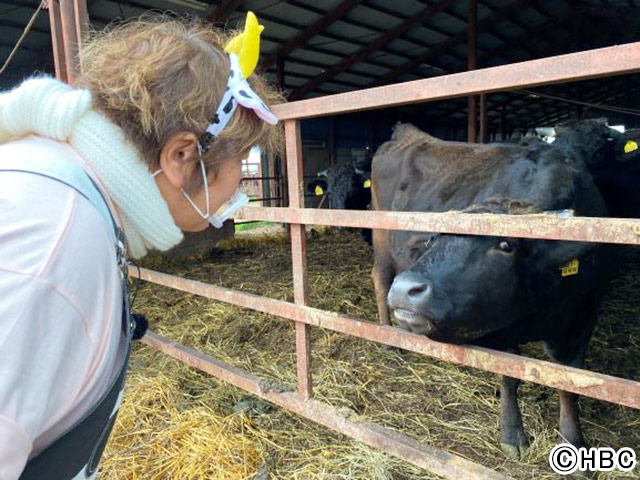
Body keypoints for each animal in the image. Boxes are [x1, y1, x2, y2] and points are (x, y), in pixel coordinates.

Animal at [370, 122, 616, 456]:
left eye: (506, 244)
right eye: (434, 238)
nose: (407, 288)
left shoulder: (585, 317)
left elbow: (569, 384)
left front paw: (573, 441)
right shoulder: (500, 327)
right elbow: (509, 377)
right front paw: (511, 433)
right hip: (381, 241)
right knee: (380, 278)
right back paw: (388, 339)